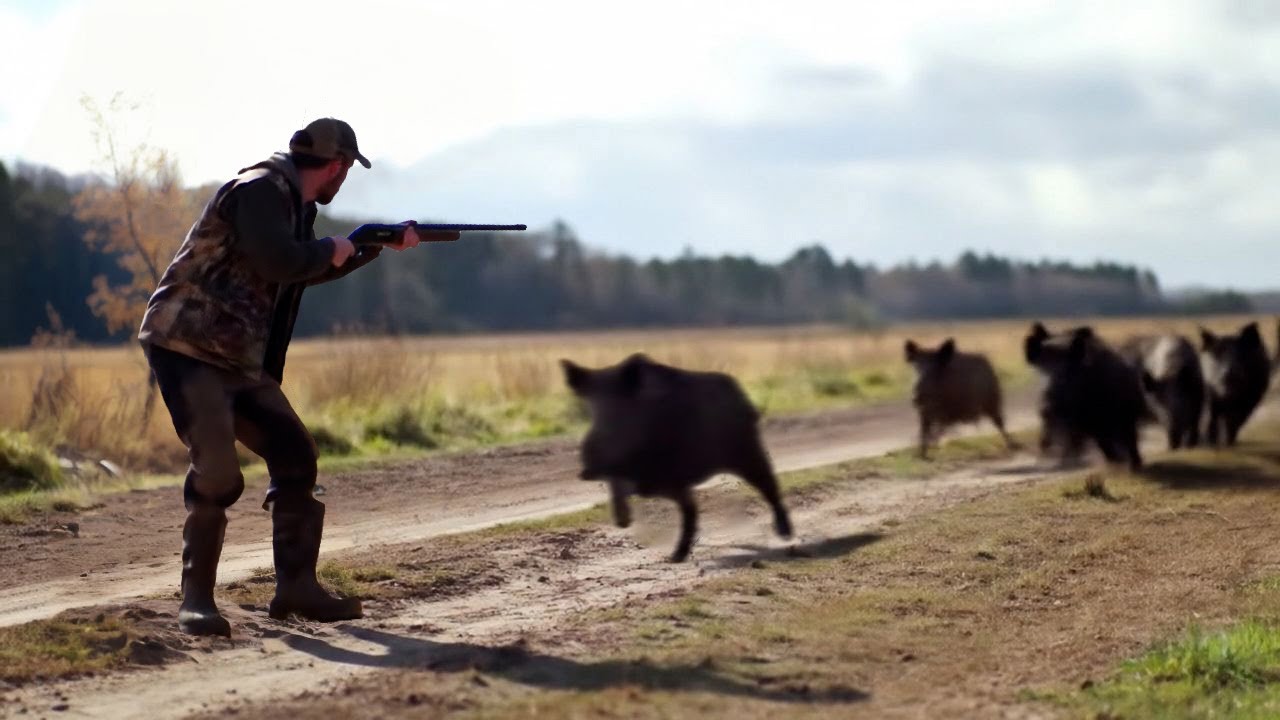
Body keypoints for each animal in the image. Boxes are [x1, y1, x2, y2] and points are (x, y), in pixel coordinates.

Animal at [560, 353, 793, 563]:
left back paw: (786, 534)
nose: (587, 469)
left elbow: (689, 509)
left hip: (748, 451)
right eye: (591, 410)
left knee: (769, 486)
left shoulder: (673, 478)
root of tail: (744, 399)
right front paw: (624, 522)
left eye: (619, 410)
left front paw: (674, 556)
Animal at [1024, 322, 1151, 471]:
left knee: (1129, 438)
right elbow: (1099, 445)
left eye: (1067, 373)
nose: (1045, 408)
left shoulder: (1120, 415)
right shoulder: (1083, 426)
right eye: (1040, 371)